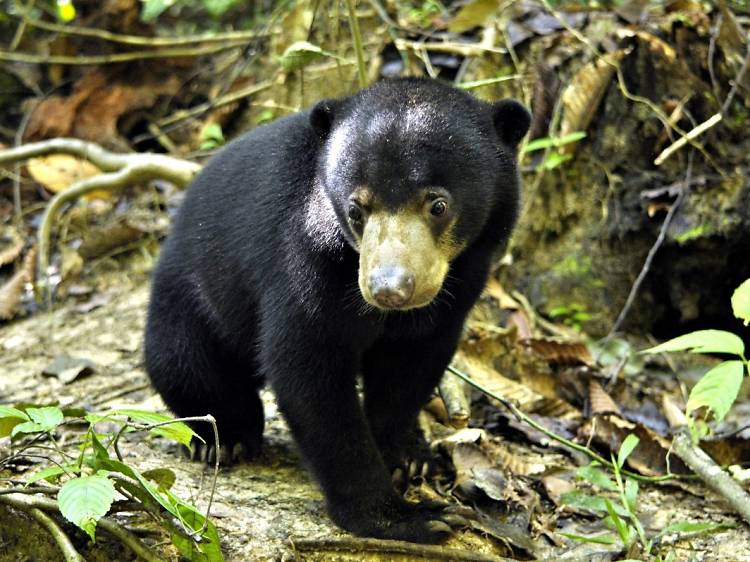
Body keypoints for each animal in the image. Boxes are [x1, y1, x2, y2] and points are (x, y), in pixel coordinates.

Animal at [147, 76, 532, 540]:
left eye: (438, 204)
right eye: (356, 209)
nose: (389, 289)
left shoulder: (464, 276)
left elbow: (412, 365)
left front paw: (403, 457)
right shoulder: (305, 259)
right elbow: (310, 370)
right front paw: (409, 516)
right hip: (190, 298)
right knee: (183, 363)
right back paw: (230, 436)